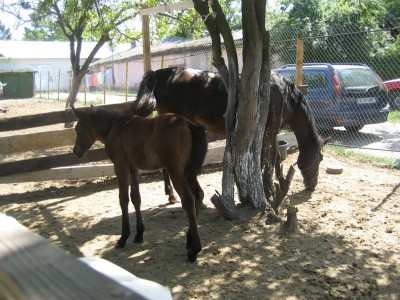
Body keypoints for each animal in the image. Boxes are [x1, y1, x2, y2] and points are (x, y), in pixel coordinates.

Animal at [72, 106, 208, 262]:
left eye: (78, 128)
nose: (75, 151)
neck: (115, 126)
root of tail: (188, 124)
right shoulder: (134, 168)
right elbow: (136, 198)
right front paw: (139, 234)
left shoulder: (120, 166)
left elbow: (123, 199)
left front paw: (123, 238)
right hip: (188, 173)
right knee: (199, 195)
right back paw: (189, 241)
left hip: (177, 172)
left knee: (189, 200)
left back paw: (194, 249)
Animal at [131, 67, 328, 200]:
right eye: (320, 158)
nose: (312, 185)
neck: (283, 93)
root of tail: (161, 73)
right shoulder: (271, 130)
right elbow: (272, 157)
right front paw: (272, 187)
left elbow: (272, 157)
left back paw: (170, 194)